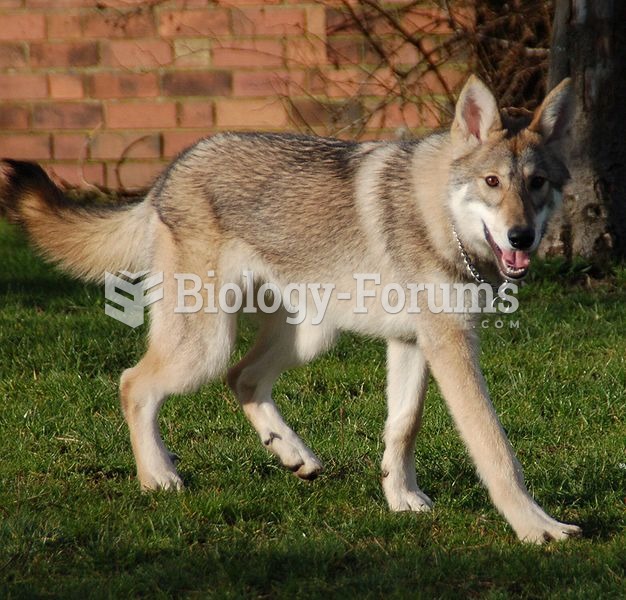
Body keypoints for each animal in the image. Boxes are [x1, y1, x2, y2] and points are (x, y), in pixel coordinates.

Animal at [0, 75, 580, 544]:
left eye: (537, 183)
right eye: (492, 182)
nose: (522, 237)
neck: (439, 216)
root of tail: (166, 177)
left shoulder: (414, 343)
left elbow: (403, 427)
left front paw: (401, 500)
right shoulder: (450, 347)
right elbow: (496, 450)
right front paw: (537, 527)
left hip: (308, 337)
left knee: (242, 378)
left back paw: (292, 454)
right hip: (206, 346)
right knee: (133, 383)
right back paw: (158, 477)